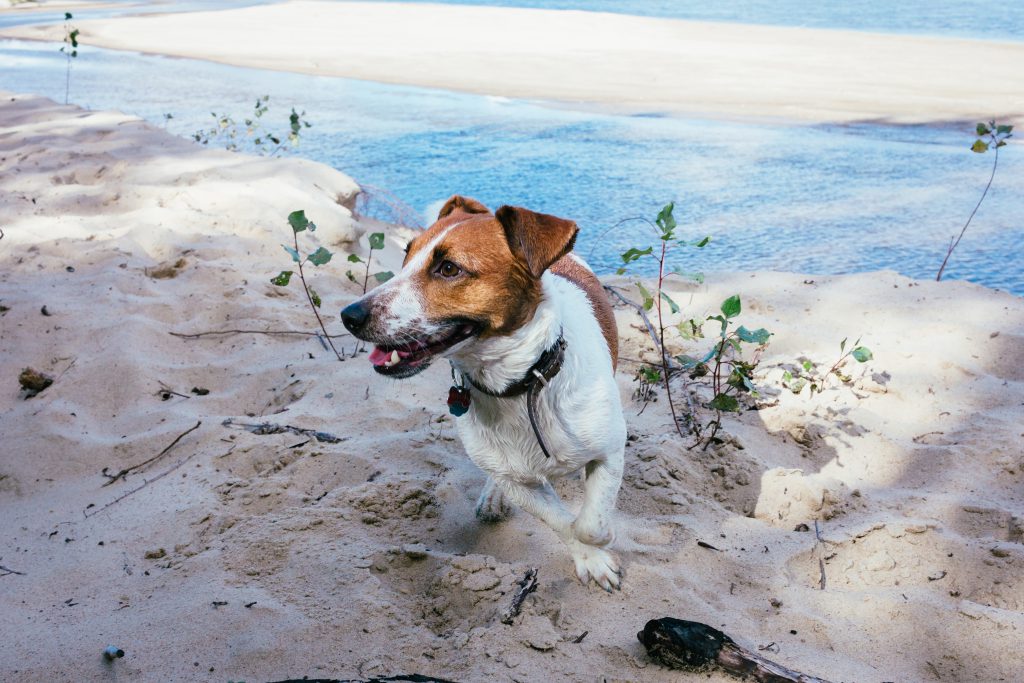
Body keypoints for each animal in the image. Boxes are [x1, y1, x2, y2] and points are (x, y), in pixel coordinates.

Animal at [342, 194, 622, 589]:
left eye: (448, 268)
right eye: (406, 257)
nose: (348, 316)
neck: (522, 385)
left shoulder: (611, 450)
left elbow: (591, 524)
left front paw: (600, 543)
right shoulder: (517, 480)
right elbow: (563, 522)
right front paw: (590, 557)